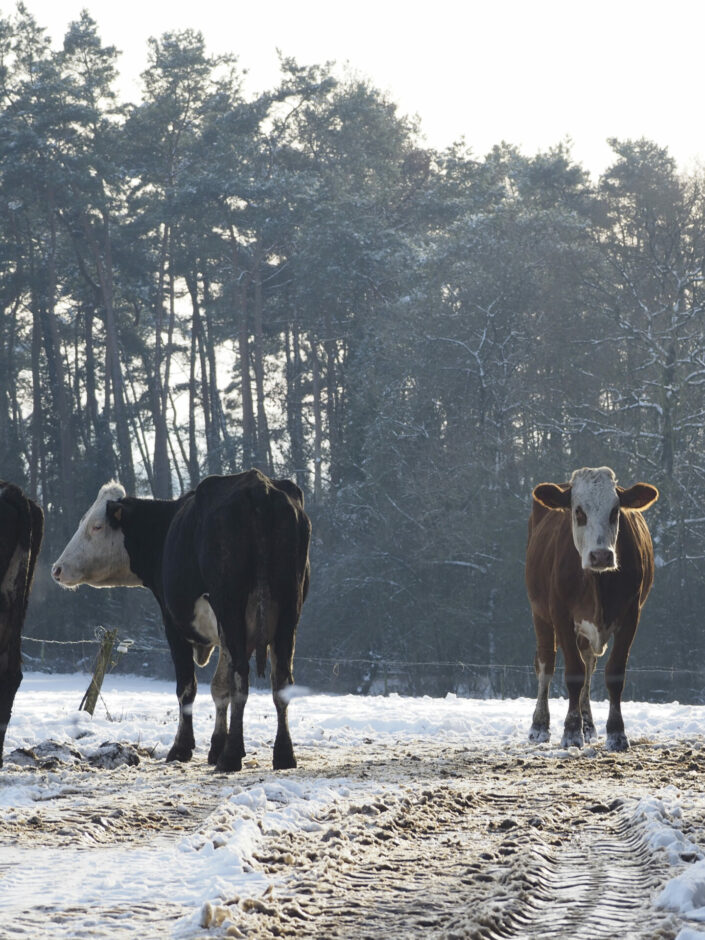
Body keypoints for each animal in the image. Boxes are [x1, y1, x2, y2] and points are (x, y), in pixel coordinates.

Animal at [52, 470, 310, 772]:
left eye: (96, 526)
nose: (57, 569)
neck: (164, 530)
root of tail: (260, 486)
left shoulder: (174, 624)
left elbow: (188, 687)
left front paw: (182, 747)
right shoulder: (225, 634)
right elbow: (219, 687)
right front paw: (215, 746)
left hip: (231, 608)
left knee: (241, 678)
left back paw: (232, 756)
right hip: (288, 613)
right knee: (280, 680)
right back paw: (283, 754)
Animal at [524, 466, 656, 752]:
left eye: (615, 511)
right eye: (579, 511)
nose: (601, 555)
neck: (598, 581)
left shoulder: (631, 615)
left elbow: (613, 674)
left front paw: (616, 733)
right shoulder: (560, 614)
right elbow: (572, 673)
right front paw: (571, 732)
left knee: (588, 665)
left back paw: (589, 725)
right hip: (540, 614)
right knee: (546, 664)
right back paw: (539, 725)